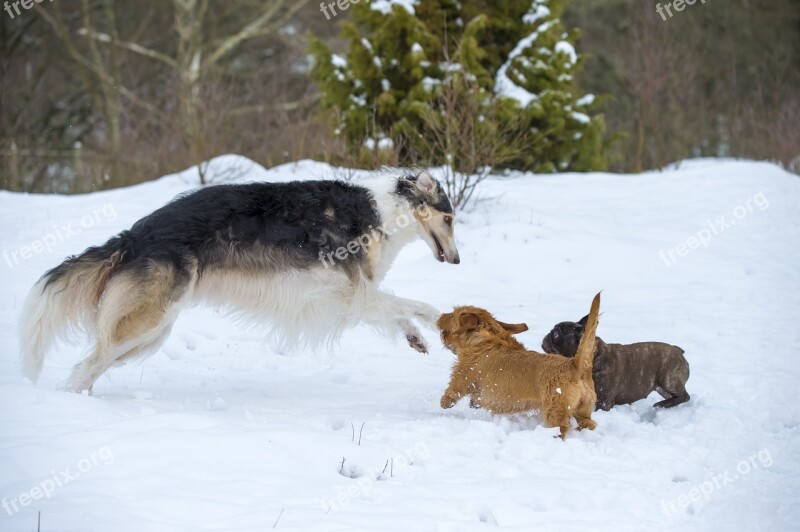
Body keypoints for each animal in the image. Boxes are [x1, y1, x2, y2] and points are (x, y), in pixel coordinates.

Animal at [438, 294, 600, 438]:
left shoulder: (462, 377)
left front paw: (445, 403)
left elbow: (452, 392)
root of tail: (573, 364)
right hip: (583, 411)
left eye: (452, 314)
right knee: (589, 424)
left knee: (562, 429)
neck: (486, 341)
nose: (440, 316)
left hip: (555, 412)